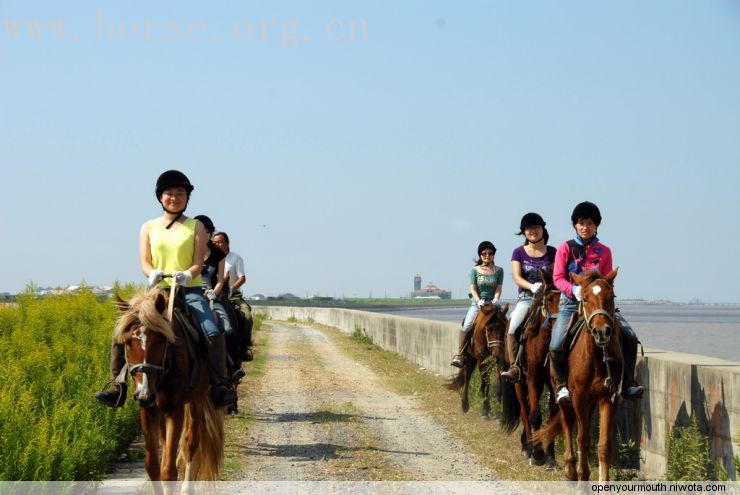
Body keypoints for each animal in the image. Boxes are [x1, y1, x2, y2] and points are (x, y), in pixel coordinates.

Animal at [115, 290, 225, 492]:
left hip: (197, 399)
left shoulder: (175, 410)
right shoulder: (149, 410)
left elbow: (168, 471)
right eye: (127, 343)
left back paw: (187, 489)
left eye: (160, 340)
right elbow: (152, 467)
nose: (144, 395)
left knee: (190, 443)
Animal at [500, 270, 556, 466]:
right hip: (519, 381)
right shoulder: (532, 377)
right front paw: (537, 454)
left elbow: (551, 416)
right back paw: (527, 448)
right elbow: (534, 415)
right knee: (525, 410)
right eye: (549, 299)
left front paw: (550, 457)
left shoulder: (552, 382)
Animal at [532, 270, 624, 482]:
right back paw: (570, 469)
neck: (598, 358)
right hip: (563, 396)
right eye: (585, 298)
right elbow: (582, 438)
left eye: (611, 296)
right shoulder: (579, 398)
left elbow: (603, 445)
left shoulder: (608, 398)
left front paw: (603, 482)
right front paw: (583, 476)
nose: (602, 332)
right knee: (567, 425)